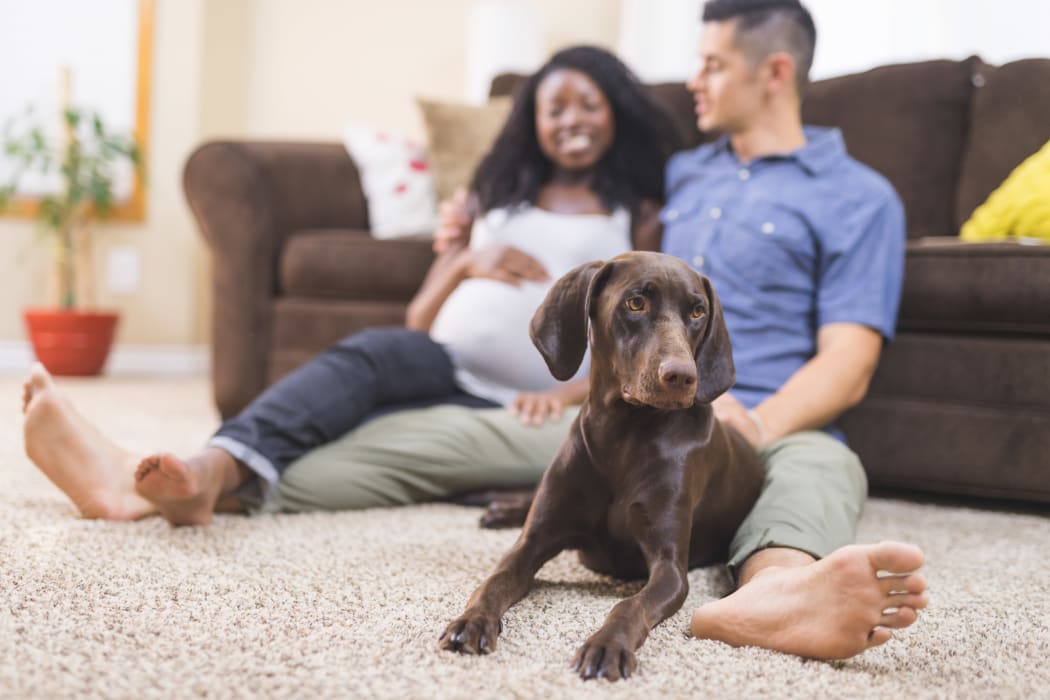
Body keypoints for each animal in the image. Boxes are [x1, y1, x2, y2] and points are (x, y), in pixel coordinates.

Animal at [436, 250, 764, 680]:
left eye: (697, 312)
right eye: (636, 303)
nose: (682, 376)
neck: (622, 437)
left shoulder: (670, 570)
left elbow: (629, 605)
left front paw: (607, 645)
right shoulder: (532, 542)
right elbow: (493, 581)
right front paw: (470, 622)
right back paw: (499, 509)